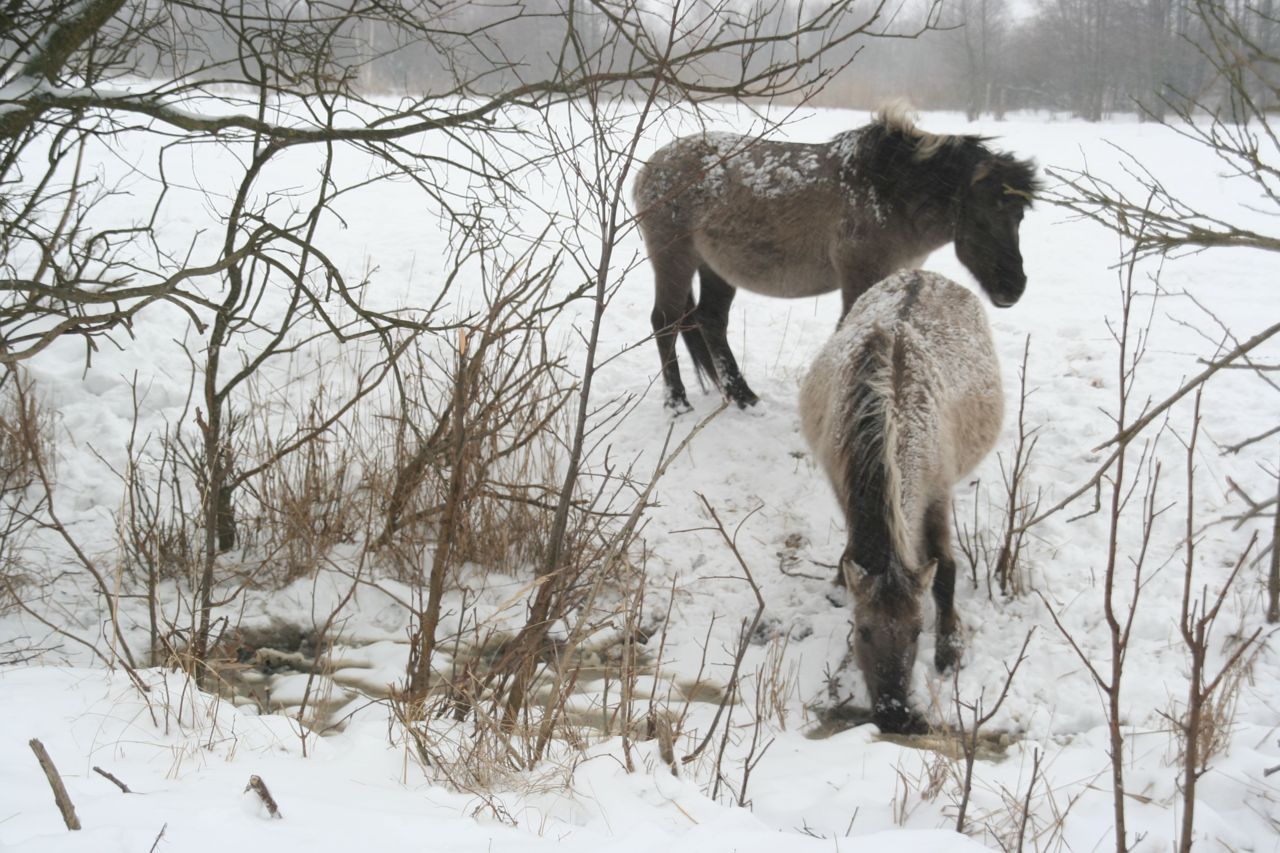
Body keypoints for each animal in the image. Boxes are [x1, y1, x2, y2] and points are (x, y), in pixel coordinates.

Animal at [634, 108, 1034, 409]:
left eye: (1020, 216)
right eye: (981, 217)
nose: (1013, 288)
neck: (887, 191)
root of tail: (649, 167)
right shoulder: (860, 277)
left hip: (716, 268)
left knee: (711, 321)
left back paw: (744, 397)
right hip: (675, 260)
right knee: (665, 321)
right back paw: (678, 402)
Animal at [798, 268, 998, 732]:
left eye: (917, 631)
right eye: (862, 630)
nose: (893, 712)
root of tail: (922, 272)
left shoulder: (938, 492)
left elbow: (945, 569)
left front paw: (951, 648)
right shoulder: (841, 483)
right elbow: (852, 552)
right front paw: (839, 583)